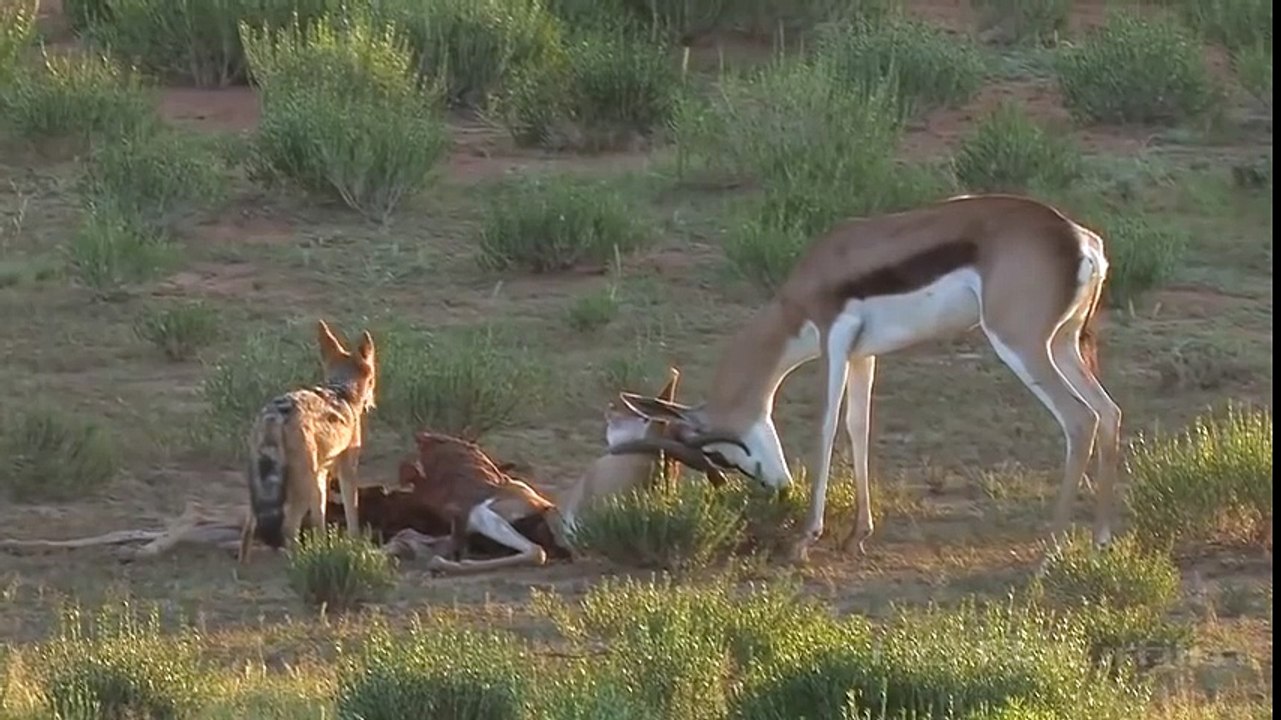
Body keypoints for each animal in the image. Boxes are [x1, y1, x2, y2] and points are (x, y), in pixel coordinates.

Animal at [607, 194, 1121, 562]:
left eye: (717, 453)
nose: (777, 487)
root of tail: (1079, 239)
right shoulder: (863, 355)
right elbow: (859, 427)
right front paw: (857, 534)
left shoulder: (833, 338)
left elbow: (826, 428)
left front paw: (805, 539)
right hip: (1064, 344)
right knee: (1108, 412)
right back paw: (1100, 539)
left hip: (1021, 343)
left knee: (1079, 420)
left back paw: (1051, 548)